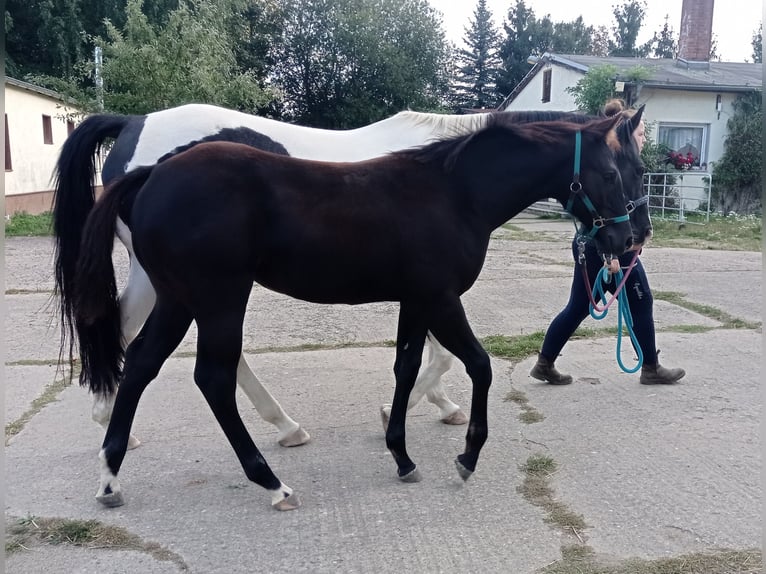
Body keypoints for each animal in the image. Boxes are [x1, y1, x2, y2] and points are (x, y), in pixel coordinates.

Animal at [71, 113, 633, 510]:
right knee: (212, 377)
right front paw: (467, 457)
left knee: (141, 364)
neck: (454, 193)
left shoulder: (416, 301)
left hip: (179, 300)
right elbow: (478, 364)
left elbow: (407, 368)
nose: (626, 240)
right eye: (611, 171)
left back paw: (110, 476)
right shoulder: (441, 298)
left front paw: (402, 456)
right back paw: (272, 481)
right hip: (218, 300)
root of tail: (150, 174)